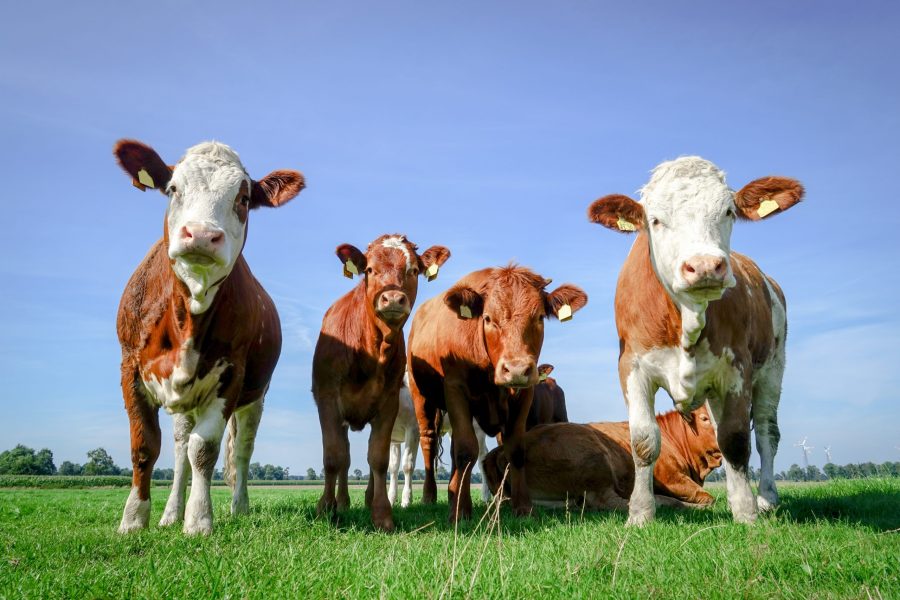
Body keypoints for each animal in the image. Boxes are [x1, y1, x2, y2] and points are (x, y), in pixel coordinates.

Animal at [113, 139, 304, 535]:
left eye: (242, 199)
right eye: (172, 189)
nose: (201, 235)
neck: (188, 314)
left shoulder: (231, 375)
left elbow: (205, 450)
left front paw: (199, 520)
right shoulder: (129, 367)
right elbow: (145, 446)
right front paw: (134, 518)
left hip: (255, 397)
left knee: (240, 451)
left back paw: (239, 507)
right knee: (179, 448)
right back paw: (170, 514)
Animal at [312, 234, 450, 531]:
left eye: (413, 270)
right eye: (369, 270)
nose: (394, 298)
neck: (370, 349)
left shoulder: (388, 404)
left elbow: (379, 458)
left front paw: (382, 514)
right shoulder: (327, 400)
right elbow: (333, 458)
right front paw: (326, 509)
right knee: (344, 458)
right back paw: (342, 502)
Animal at [408, 265, 588, 522]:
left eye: (539, 317)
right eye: (488, 318)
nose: (516, 369)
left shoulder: (524, 396)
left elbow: (516, 449)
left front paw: (523, 506)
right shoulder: (455, 390)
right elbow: (466, 450)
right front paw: (460, 511)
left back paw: (453, 492)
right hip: (422, 398)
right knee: (429, 442)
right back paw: (430, 496)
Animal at [587, 156, 803, 524]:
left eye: (729, 211)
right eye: (655, 220)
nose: (704, 266)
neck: (687, 317)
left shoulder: (737, 369)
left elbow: (736, 440)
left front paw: (746, 513)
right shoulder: (632, 366)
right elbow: (644, 441)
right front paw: (640, 514)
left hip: (774, 368)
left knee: (765, 433)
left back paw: (766, 497)